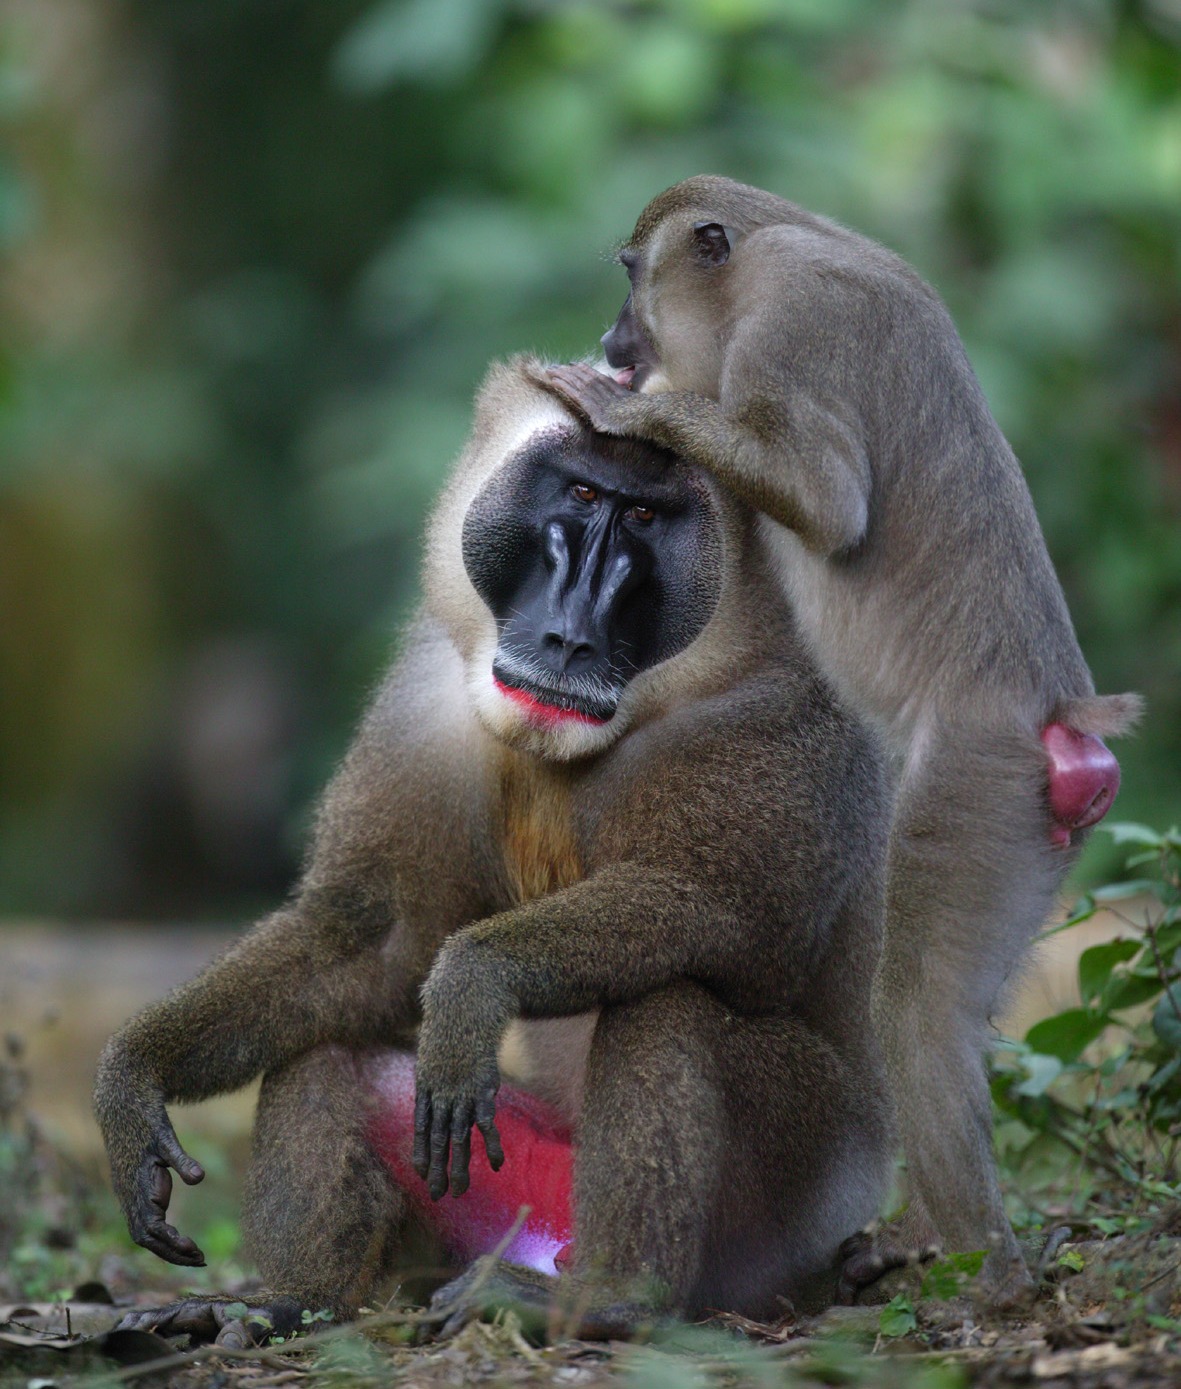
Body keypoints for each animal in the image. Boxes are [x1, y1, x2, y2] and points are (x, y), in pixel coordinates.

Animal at [94, 356, 895, 1346]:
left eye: (644, 516)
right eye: (580, 492)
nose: (568, 631)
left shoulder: (782, 721)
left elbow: (731, 919)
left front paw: (475, 977)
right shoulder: (426, 703)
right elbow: (371, 940)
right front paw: (136, 1076)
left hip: (791, 1194)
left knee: (667, 1001)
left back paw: (612, 1298)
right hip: (504, 1167)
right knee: (330, 1052)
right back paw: (289, 1299)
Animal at [537, 176, 1142, 1304]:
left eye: (633, 277)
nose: (612, 339)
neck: (784, 238)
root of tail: (1060, 722)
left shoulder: (791, 321)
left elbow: (823, 502)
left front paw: (634, 412)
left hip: (974, 782)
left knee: (917, 1012)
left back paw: (984, 1274)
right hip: (1026, 824)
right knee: (955, 1008)